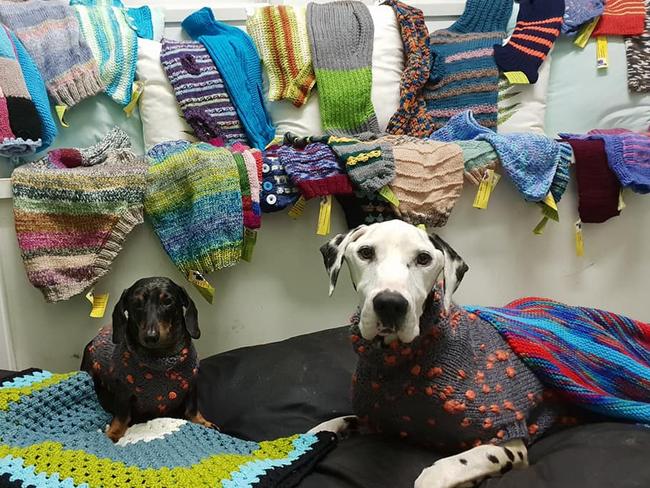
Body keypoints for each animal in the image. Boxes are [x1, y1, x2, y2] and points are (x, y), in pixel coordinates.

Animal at [306, 222, 556, 488]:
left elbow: (441, 470)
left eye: (423, 258)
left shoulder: (508, 439)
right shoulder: (379, 420)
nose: (390, 304)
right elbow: (334, 423)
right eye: (366, 252)